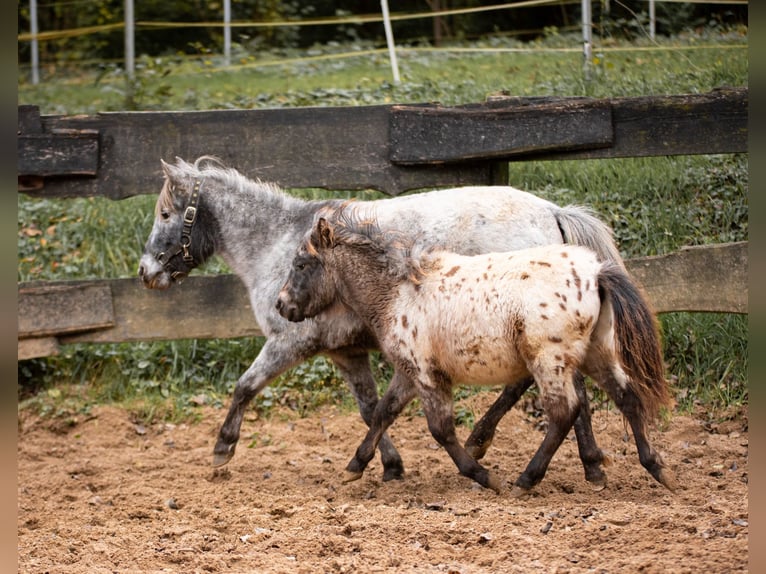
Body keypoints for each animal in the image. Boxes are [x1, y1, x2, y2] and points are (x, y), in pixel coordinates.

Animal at [141, 156, 624, 486]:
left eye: (165, 214)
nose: (147, 273)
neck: (277, 244)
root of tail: (552, 212)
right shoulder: (346, 354)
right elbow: (371, 408)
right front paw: (388, 465)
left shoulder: (288, 344)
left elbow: (244, 386)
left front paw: (223, 448)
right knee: (567, 391)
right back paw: (584, 464)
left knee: (550, 389)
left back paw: (502, 447)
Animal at [278, 208, 680, 500]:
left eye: (301, 264)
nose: (282, 306)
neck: (399, 291)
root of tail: (597, 272)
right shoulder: (407, 372)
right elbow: (382, 414)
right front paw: (354, 468)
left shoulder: (426, 374)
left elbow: (440, 430)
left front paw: (484, 476)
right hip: (597, 354)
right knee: (627, 398)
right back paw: (659, 469)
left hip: (549, 361)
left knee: (564, 412)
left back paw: (525, 480)